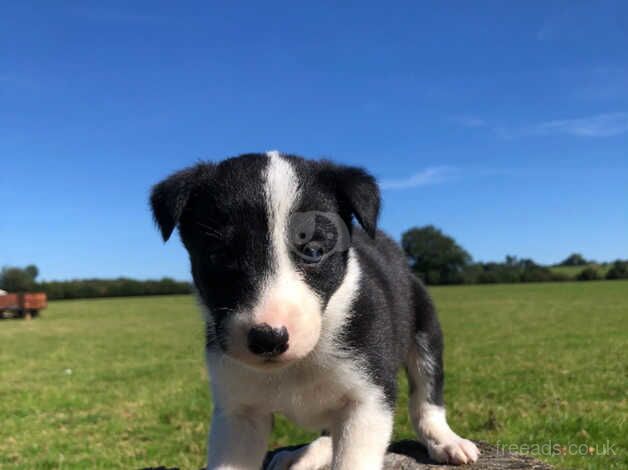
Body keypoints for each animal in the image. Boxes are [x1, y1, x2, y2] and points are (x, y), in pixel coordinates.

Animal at [150, 152, 478, 468]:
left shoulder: (368, 398)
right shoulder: (239, 412)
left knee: (426, 396)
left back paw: (446, 441)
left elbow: (353, 461)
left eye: (313, 251)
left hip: (425, 327)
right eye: (219, 256)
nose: (269, 338)